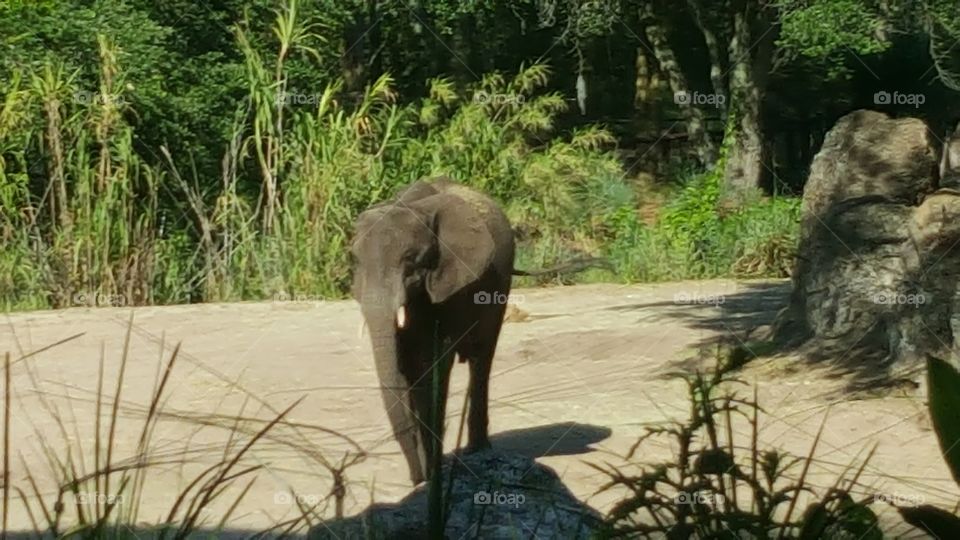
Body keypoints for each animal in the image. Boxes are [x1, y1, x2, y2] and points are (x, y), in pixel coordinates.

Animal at [350, 177, 516, 486]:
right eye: (354, 260)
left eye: (410, 260)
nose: (417, 478)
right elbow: (403, 366)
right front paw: (426, 476)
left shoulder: (452, 285)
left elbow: (434, 364)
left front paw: (434, 472)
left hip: (502, 284)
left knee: (482, 358)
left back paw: (477, 450)